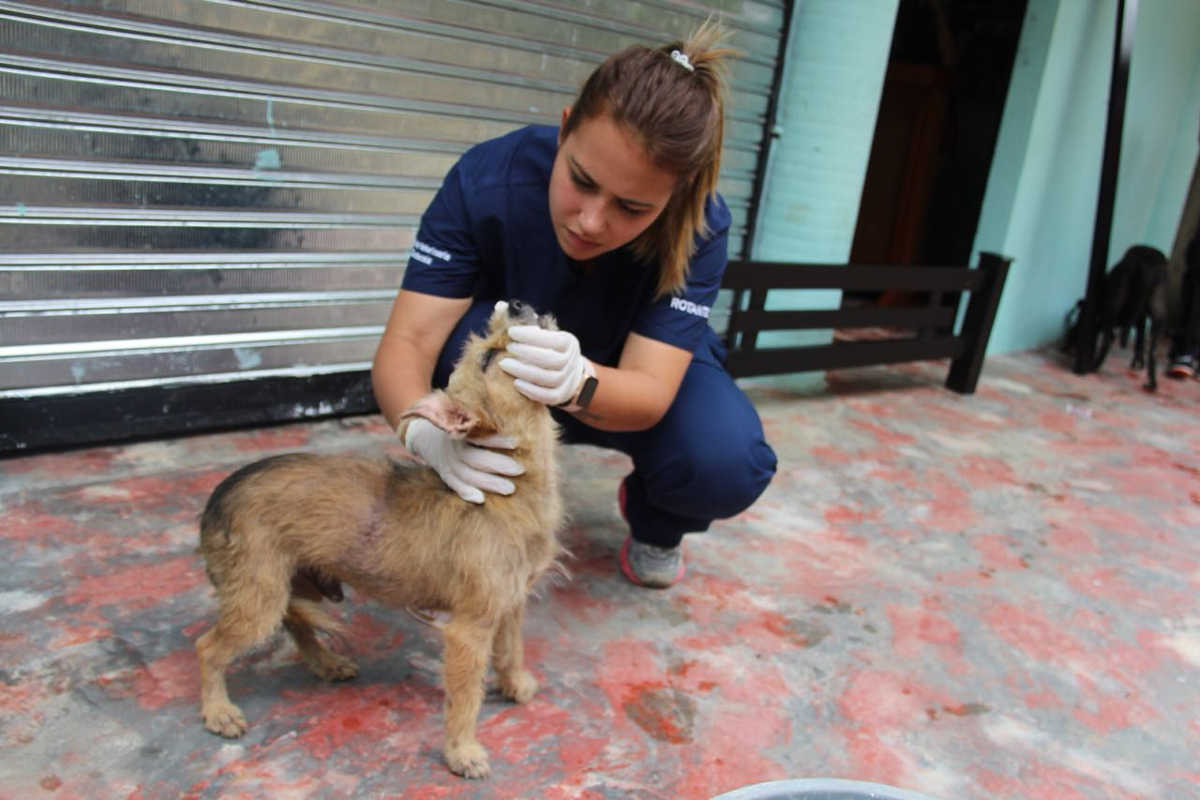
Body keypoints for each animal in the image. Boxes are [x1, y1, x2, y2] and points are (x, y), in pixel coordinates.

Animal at [195, 298, 566, 777]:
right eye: (487, 357)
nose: (515, 303)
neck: (511, 490)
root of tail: (220, 495)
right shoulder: (469, 630)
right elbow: (465, 697)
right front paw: (462, 751)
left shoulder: (510, 604)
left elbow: (512, 649)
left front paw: (515, 684)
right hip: (258, 600)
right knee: (208, 648)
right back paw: (218, 710)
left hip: (293, 584)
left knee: (294, 620)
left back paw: (326, 662)